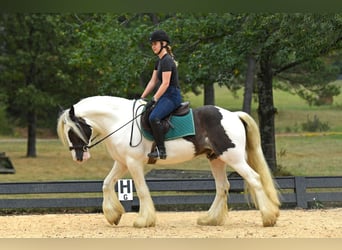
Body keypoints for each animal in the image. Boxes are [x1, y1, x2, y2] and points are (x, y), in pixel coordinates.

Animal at [56, 95, 280, 229]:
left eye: (72, 131)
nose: (79, 157)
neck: (119, 121)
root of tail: (233, 115)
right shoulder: (122, 163)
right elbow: (106, 184)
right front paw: (113, 215)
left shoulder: (133, 163)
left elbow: (142, 190)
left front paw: (143, 220)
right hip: (216, 159)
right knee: (222, 186)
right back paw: (210, 219)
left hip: (233, 157)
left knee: (255, 179)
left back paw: (268, 217)